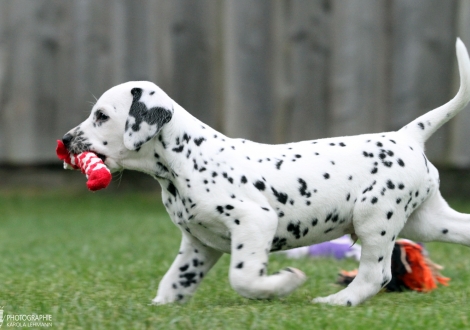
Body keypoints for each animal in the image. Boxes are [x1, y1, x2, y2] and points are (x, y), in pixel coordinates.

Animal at [62, 39, 470, 306]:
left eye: (101, 116)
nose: (65, 140)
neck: (186, 161)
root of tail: (407, 136)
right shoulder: (198, 244)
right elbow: (173, 283)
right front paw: (159, 309)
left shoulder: (254, 221)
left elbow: (243, 277)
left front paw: (281, 285)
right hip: (426, 221)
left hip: (374, 218)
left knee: (375, 275)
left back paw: (336, 302)